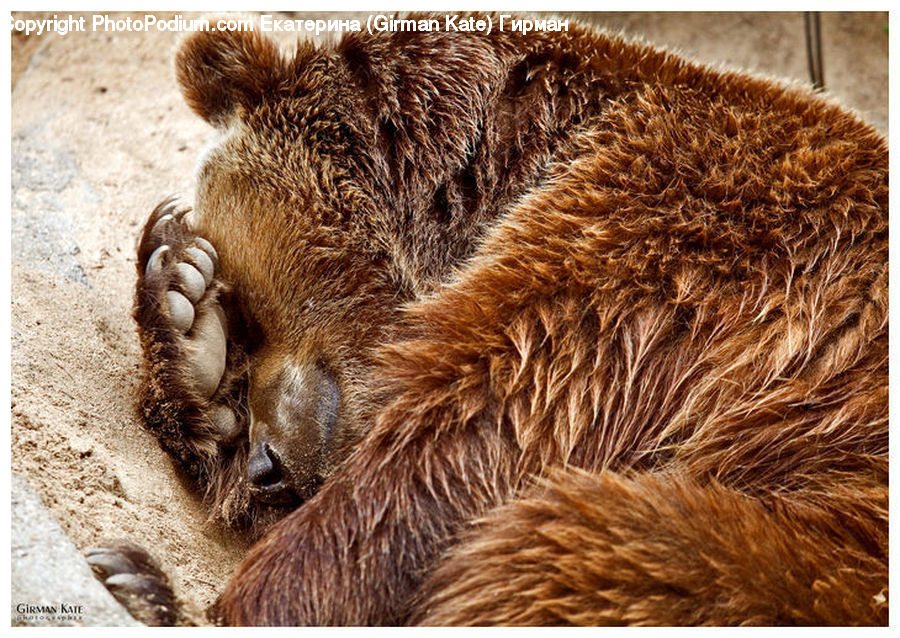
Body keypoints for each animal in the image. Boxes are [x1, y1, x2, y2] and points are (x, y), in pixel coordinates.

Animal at [94, 13, 887, 626]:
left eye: (256, 315)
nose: (267, 465)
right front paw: (186, 314)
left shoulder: (674, 231)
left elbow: (483, 425)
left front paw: (226, 591)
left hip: (826, 534)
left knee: (577, 541)